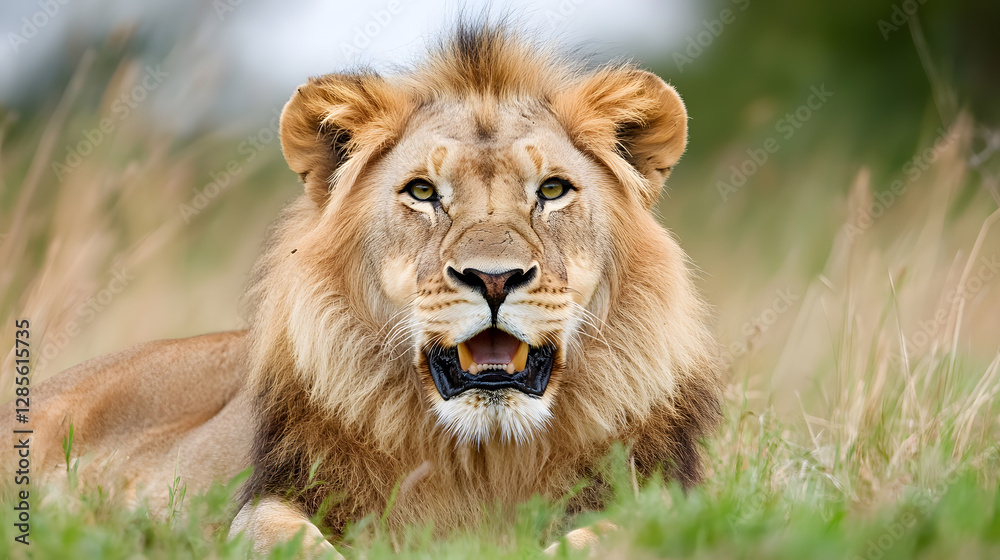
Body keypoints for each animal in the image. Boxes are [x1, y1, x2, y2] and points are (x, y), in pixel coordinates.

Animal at [2, 23, 723, 556]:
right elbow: (279, 537)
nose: (493, 278)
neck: (483, 453)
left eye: (551, 190)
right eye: (423, 192)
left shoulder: (668, 495)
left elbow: (614, 534)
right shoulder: (268, 501)